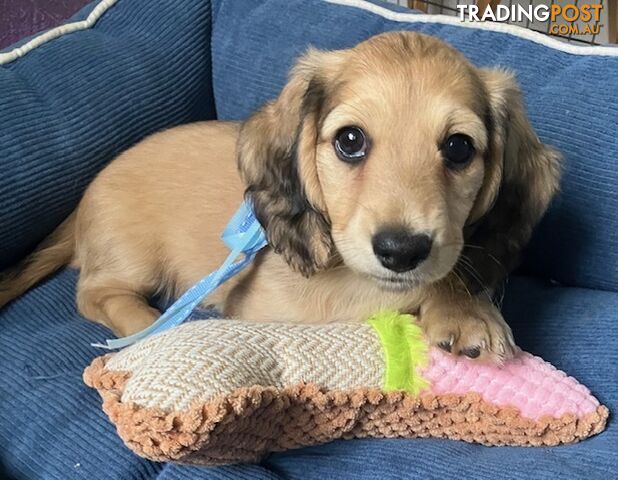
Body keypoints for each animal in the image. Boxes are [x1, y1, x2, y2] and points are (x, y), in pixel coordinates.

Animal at [0, 31, 560, 362]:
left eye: (459, 147)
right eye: (350, 141)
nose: (401, 251)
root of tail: (83, 200)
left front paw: (466, 309)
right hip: (133, 258)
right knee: (95, 294)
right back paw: (156, 326)